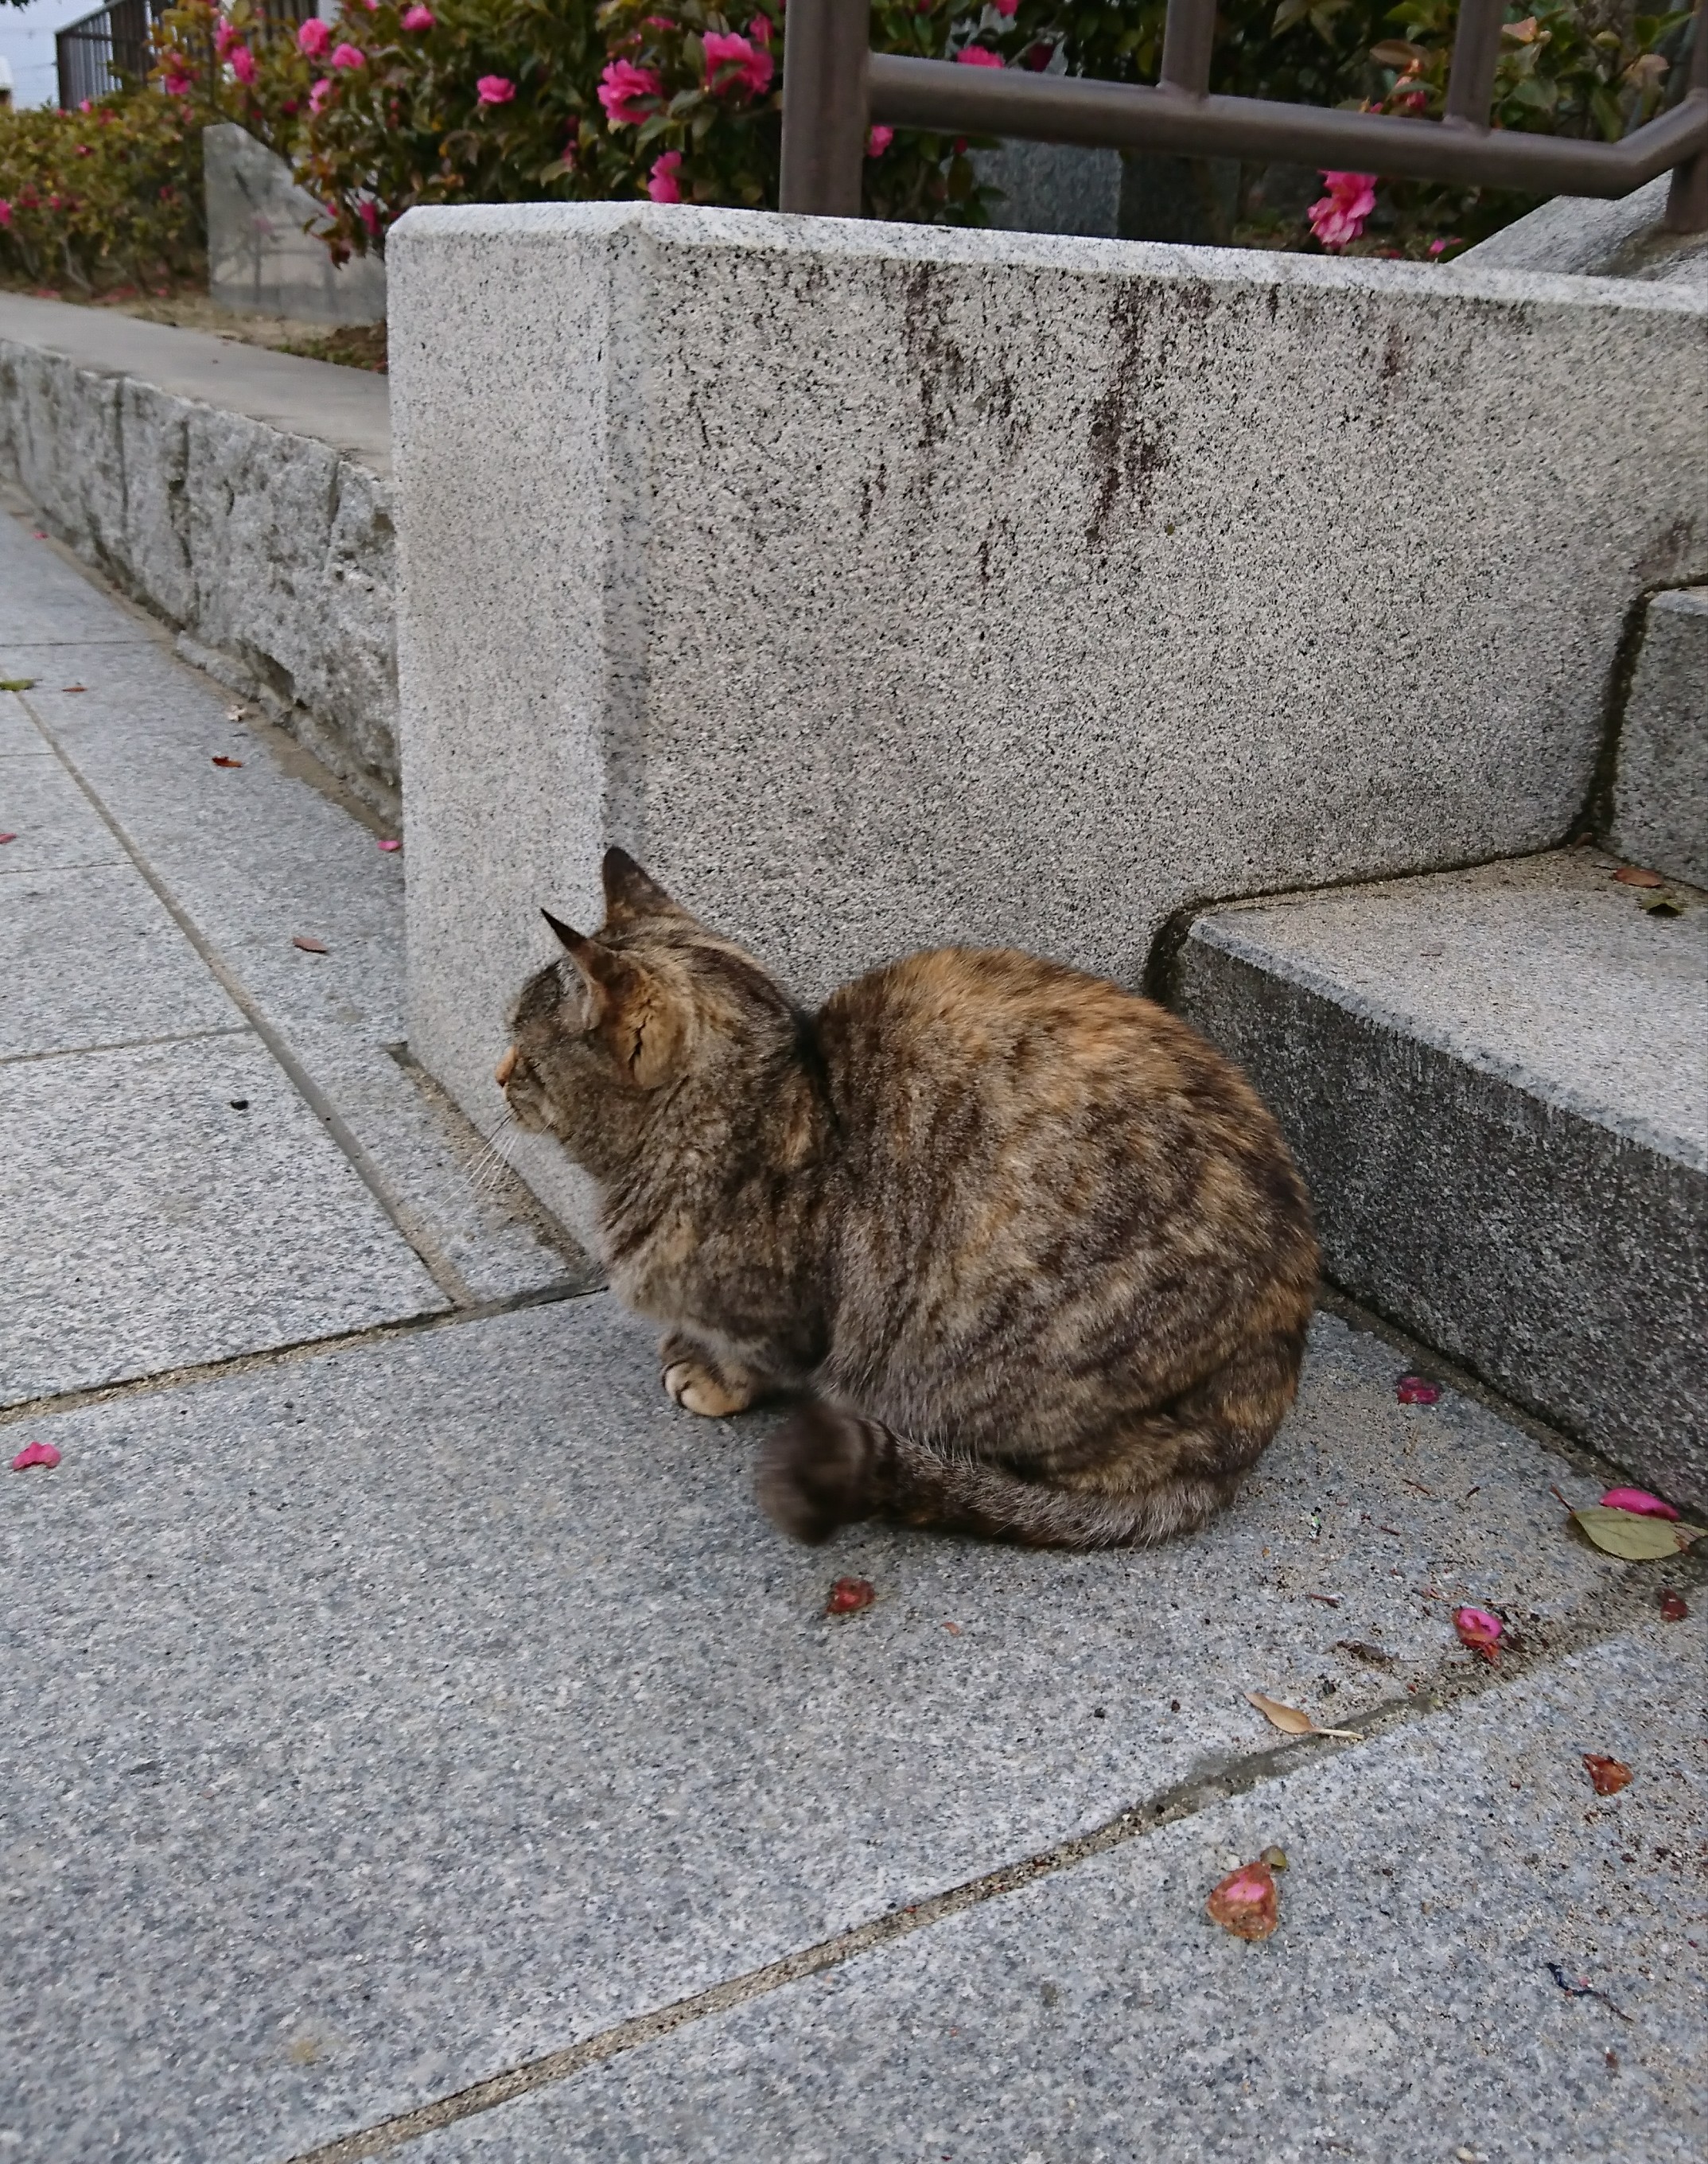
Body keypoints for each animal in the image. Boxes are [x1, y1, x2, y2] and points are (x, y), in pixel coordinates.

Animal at [496, 852, 1316, 1549]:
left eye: (522, 1050)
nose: (496, 1073)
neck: (765, 1099)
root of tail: (1257, 1411)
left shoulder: (780, 1321)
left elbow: (753, 1361)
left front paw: (708, 1376)